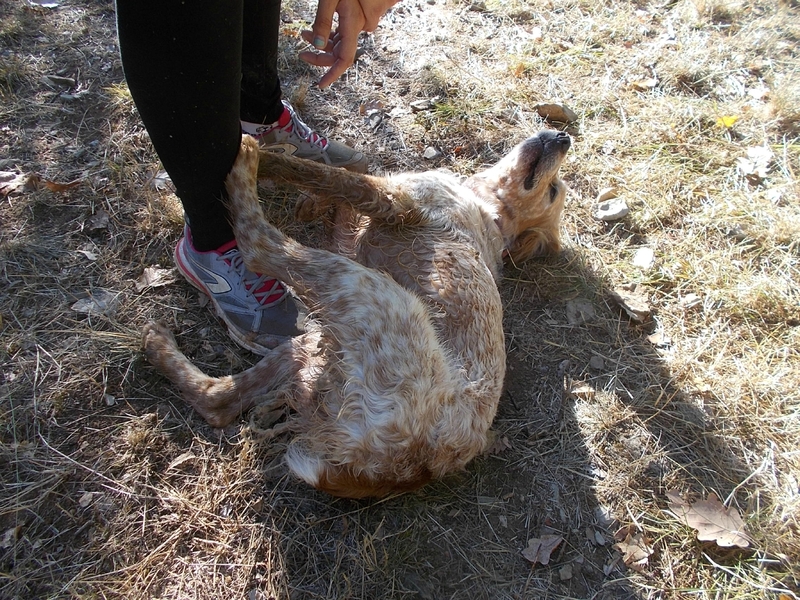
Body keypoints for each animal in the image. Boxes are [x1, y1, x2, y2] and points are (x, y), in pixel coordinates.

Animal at [142, 130, 568, 496]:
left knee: (258, 246)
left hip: (364, 291)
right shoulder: (361, 228)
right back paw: (156, 342)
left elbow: (327, 175)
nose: (563, 136)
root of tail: (405, 466)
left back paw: (244, 164)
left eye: (552, 191)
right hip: (317, 343)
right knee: (218, 401)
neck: (488, 207)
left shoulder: (396, 200)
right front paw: (310, 202)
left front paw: (270, 159)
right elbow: (340, 195)